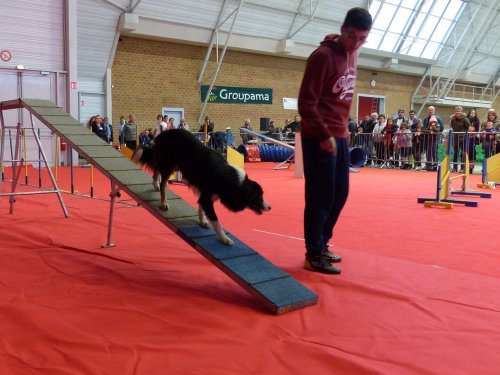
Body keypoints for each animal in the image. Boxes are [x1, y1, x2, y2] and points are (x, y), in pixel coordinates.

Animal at [132, 130, 270, 247]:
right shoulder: (207, 198)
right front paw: (224, 238)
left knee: (156, 169)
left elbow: (201, 208)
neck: (232, 181)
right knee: (163, 183)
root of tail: (162, 134)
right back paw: (163, 202)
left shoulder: (205, 195)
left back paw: (155, 184)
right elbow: (216, 221)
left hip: (174, 165)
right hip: (169, 164)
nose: (269, 207)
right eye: (258, 197)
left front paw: (202, 221)